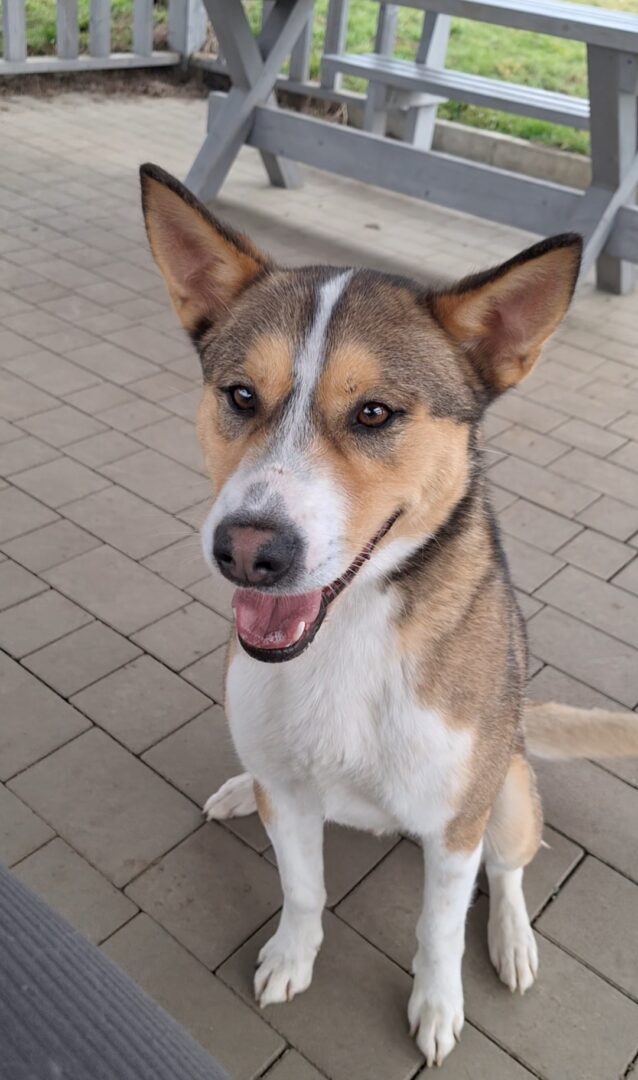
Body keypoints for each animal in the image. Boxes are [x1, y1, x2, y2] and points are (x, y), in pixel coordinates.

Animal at [140, 163, 638, 1068]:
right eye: (240, 395)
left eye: (374, 413)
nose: (248, 552)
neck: (347, 639)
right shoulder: (291, 797)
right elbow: (303, 890)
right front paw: (291, 957)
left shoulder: (455, 830)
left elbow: (438, 932)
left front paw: (438, 1007)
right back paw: (236, 789)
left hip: (508, 794)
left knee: (512, 870)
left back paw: (513, 941)